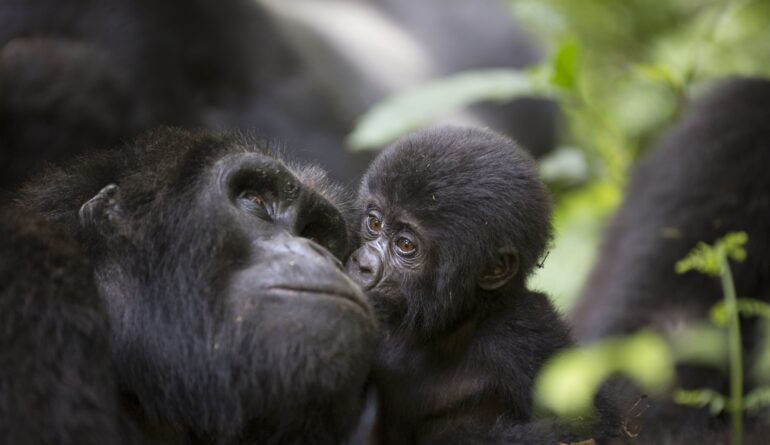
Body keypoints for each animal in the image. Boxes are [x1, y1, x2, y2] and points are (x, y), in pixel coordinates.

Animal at [346, 125, 612, 444]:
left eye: (406, 245)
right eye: (374, 224)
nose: (362, 264)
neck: (451, 325)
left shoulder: (523, 329)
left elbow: (589, 428)